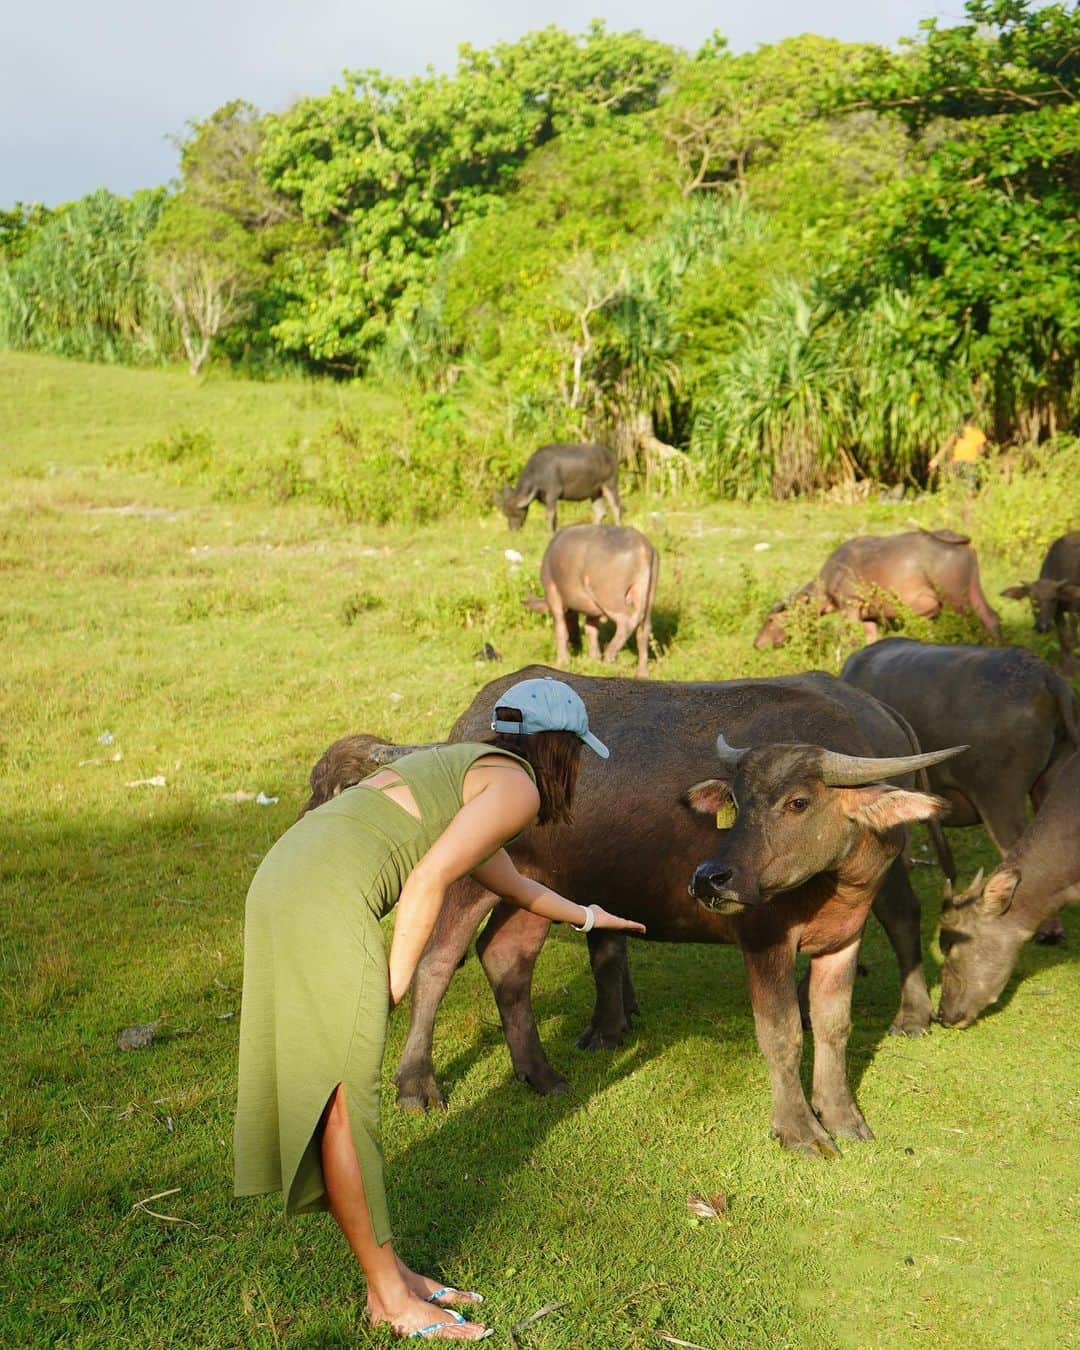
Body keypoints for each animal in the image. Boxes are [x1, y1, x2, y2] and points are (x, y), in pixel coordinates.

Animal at [307, 664, 955, 1161]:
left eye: (798, 803)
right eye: (738, 802)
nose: (711, 878)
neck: (832, 883)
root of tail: (464, 732)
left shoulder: (842, 939)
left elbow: (834, 1027)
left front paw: (842, 1117)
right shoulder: (763, 938)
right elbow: (782, 1034)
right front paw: (799, 1131)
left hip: (536, 887)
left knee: (505, 959)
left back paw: (541, 1074)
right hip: (470, 872)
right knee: (436, 961)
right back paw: (417, 1085)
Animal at [523, 523, 658, 680]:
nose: (575, 644)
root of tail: (642, 546)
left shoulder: (553, 595)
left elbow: (561, 628)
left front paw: (562, 662)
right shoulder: (592, 610)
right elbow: (591, 629)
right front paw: (593, 658)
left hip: (609, 597)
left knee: (626, 622)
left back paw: (609, 657)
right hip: (647, 595)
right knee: (644, 627)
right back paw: (642, 673)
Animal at [756, 526, 999, 648]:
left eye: (771, 619)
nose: (756, 644)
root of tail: (960, 540)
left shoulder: (850, 607)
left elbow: (848, 639)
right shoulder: (869, 617)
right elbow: (870, 640)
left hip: (955, 597)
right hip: (972, 590)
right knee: (991, 618)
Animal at [999, 529, 1080, 672]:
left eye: (1053, 599)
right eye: (1033, 599)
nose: (1042, 627)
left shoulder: (1073, 609)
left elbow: (1072, 636)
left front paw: (1073, 667)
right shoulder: (1057, 613)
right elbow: (1063, 638)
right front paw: (1065, 667)